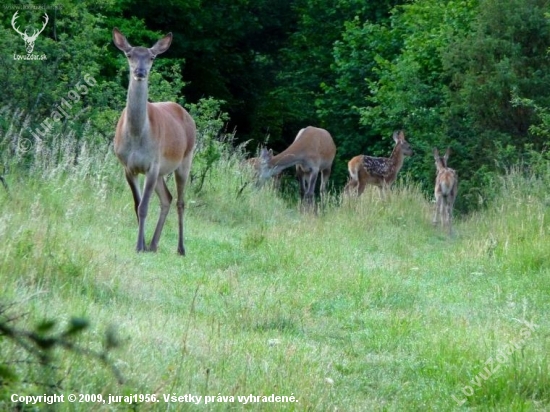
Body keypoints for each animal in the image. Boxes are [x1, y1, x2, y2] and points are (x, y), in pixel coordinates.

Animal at [113, 28, 197, 254]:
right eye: (129, 54)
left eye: (151, 57)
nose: (140, 72)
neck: (136, 136)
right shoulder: (128, 166)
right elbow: (137, 205)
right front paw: (142, 245)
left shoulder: (152, 164)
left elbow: (144, 206)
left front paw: (138, 246)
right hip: (161, 172)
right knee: (167, 198)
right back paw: (153, 244)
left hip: (185, 159)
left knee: (180, 202)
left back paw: (181, 248)